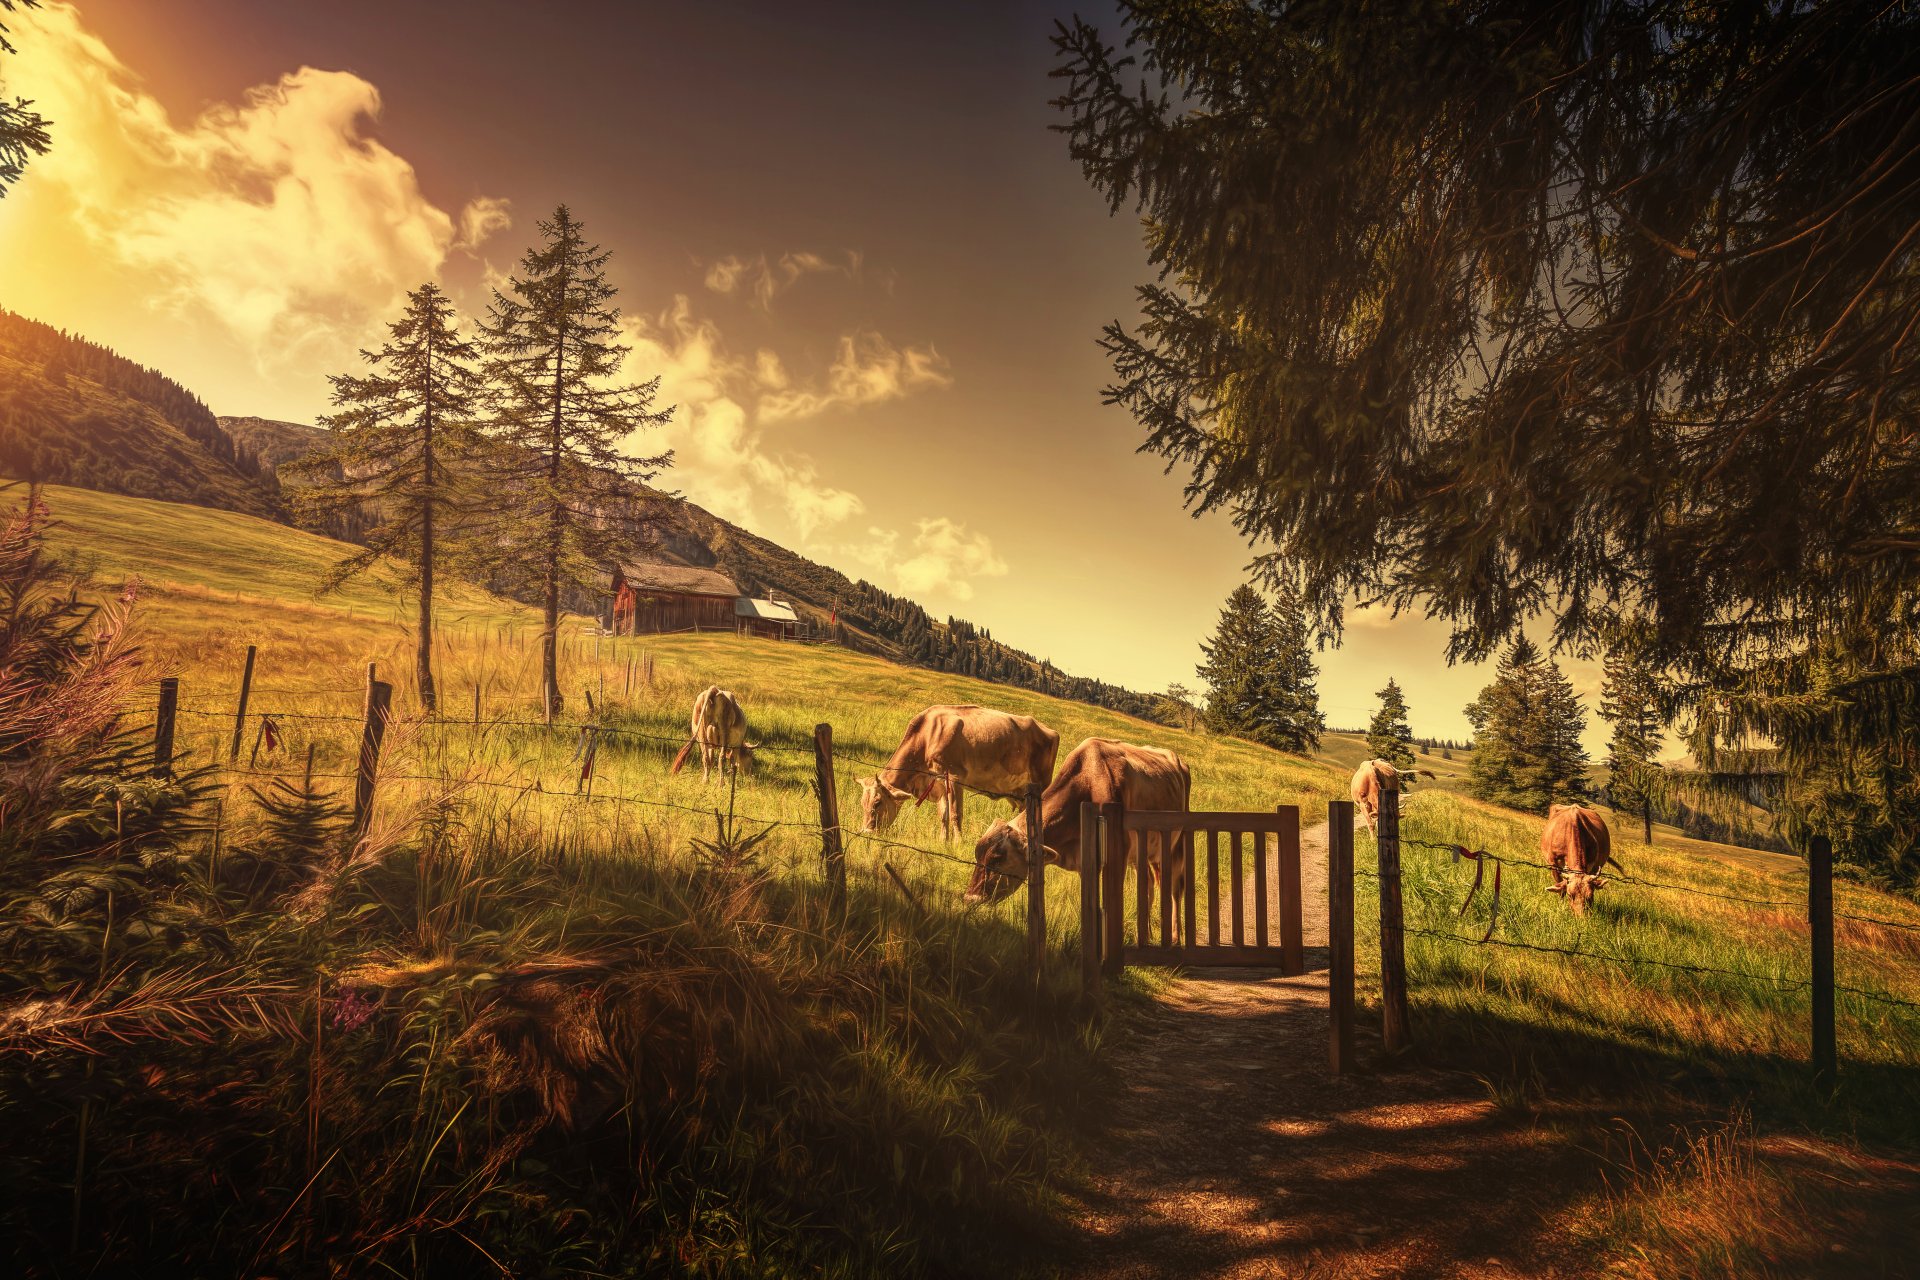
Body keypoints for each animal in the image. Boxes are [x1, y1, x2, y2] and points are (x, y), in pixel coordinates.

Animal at [860, 706, 1059, 844]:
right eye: (862, 803)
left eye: (878, 802)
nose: (866, 832)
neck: (927, 737)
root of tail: (1050, 731)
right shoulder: (939, 784)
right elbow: (943, 815)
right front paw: (943, 841)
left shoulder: (955, 778)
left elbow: (956, 813)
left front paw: (958, 842)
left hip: (1040, 784)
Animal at [967, 740, 1190, 940]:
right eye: (977, 854)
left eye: (997, 858)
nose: (969, 898)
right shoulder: (1086, 861)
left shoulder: (1117, 857)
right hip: (1141, 854)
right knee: (1149, 884)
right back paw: (1146, 934)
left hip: (1177, 846)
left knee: (1175, 888)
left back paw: (1175, 938)